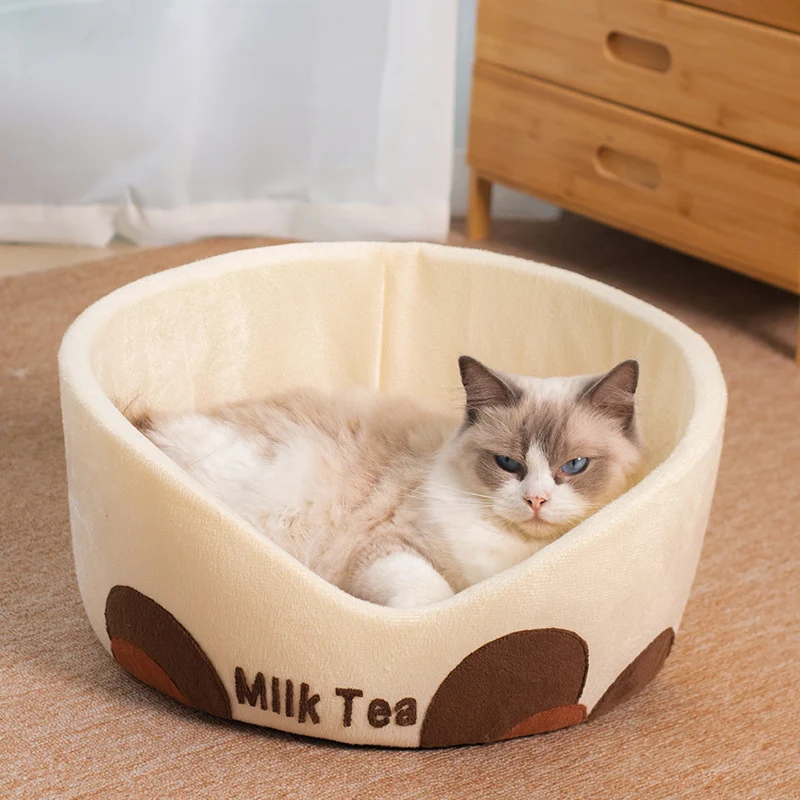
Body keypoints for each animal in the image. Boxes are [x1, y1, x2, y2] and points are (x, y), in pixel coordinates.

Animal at [125, 357, 642, 608]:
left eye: (574, 465)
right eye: (507, 463)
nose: (535, 500)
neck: (516, 555)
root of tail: (154, 424)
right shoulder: (387, 546)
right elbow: (431, 596)